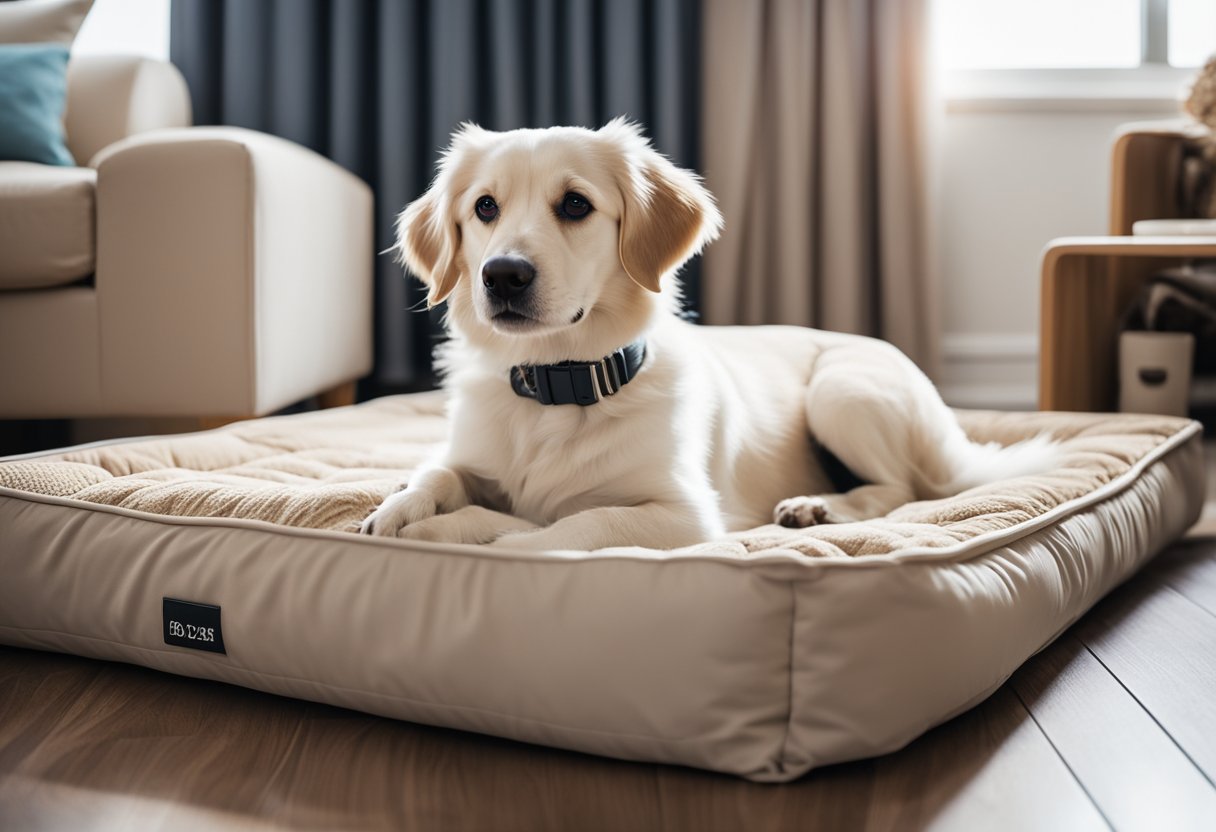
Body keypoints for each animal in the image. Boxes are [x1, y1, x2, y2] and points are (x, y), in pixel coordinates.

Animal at [357, 116, 1055, 544]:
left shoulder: (685, 515)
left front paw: (485, 531)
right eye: (484, 207)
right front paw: (397, 509)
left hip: (843, 390)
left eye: (576, 204)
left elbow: (573, 527)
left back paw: (818, 505)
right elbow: (437, 474)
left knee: (902, 488)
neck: (558, 384)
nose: (502, 275)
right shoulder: (467, 455)